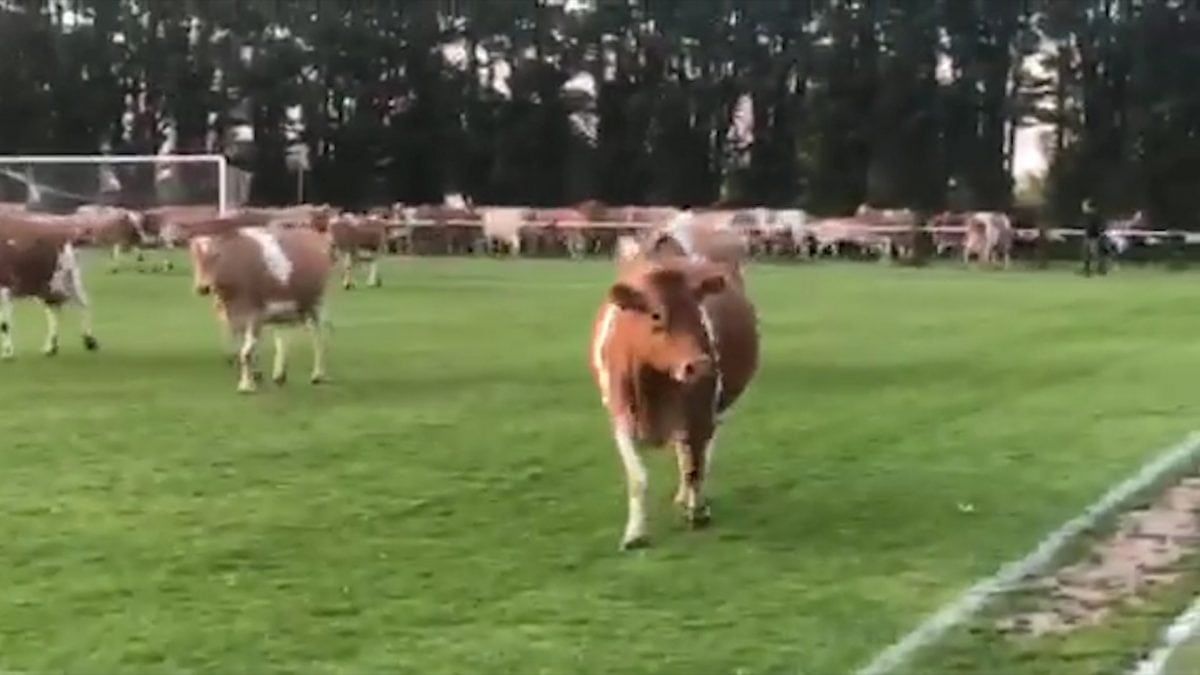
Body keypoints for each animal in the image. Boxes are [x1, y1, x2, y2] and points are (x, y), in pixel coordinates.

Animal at [0, 214, 99, 357]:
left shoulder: (5, 288)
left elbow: (4, 324)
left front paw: (8, 353)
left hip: (64, 280)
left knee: (81, 304)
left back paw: (88, 341)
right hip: (47, 287)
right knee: (56, 310)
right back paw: (52, 347)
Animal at [189, 227, 336, 391]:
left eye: (217, 255)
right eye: (194, 257)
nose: (203, 288)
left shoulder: (255, 316)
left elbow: (246, 352)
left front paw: (246, 385)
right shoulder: (235, 319)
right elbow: (244, 350)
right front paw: (253, 376)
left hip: (317, 304)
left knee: (320, 337)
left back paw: (318, 374)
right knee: (284, 336)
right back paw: (280, 374)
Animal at [590, 220, 758, 547]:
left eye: (698, 311)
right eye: (656, 315)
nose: (701, 365)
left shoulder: (701, 413)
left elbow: (696, 465)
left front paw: (698, 512)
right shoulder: (620, 413)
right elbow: (638, 477)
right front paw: (635, 532)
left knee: (700, 454)